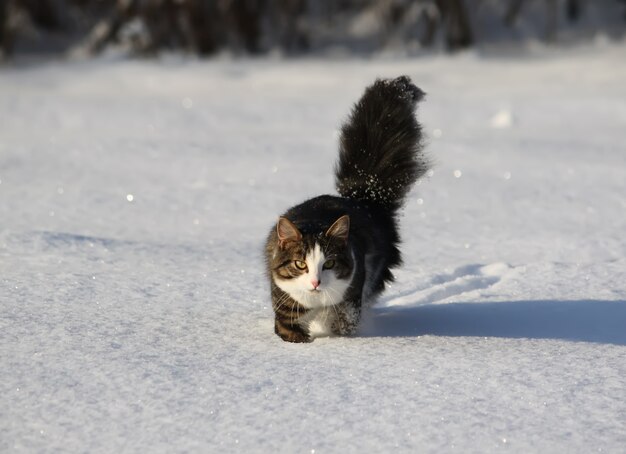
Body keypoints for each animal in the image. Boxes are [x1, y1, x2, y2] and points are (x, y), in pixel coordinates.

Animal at [264, 75, 428, 344]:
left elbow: (345, 323)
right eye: (300, 264)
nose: (315, 282)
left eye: (329, 264)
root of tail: (365, 197)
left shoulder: (352, 292)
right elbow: (290, 331)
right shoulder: (286, 303)